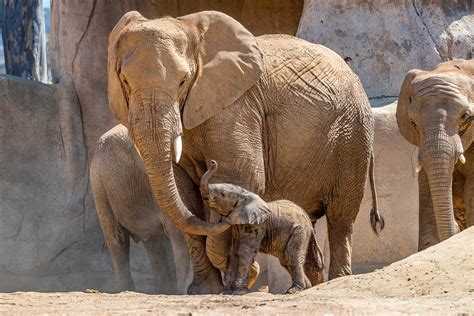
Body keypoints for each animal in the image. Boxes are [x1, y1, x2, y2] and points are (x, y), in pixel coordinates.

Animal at [90, 124, 193, 294]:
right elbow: (179, 230)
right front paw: (185, 290)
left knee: (153, 241)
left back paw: (164, 290)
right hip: (99, 186)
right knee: (117, 238)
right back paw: (127, 290)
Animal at [198, 162, 324, 296]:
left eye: (222, 194)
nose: (213, 162)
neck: (244, 194)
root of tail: (308, 221)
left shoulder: (258, 225)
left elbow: (245, 251)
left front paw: (239, 292)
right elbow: (234, 251)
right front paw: (226, 293)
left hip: (300, 231)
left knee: (291, 256)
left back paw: (293, 290)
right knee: (284, 260)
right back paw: (306, 288)